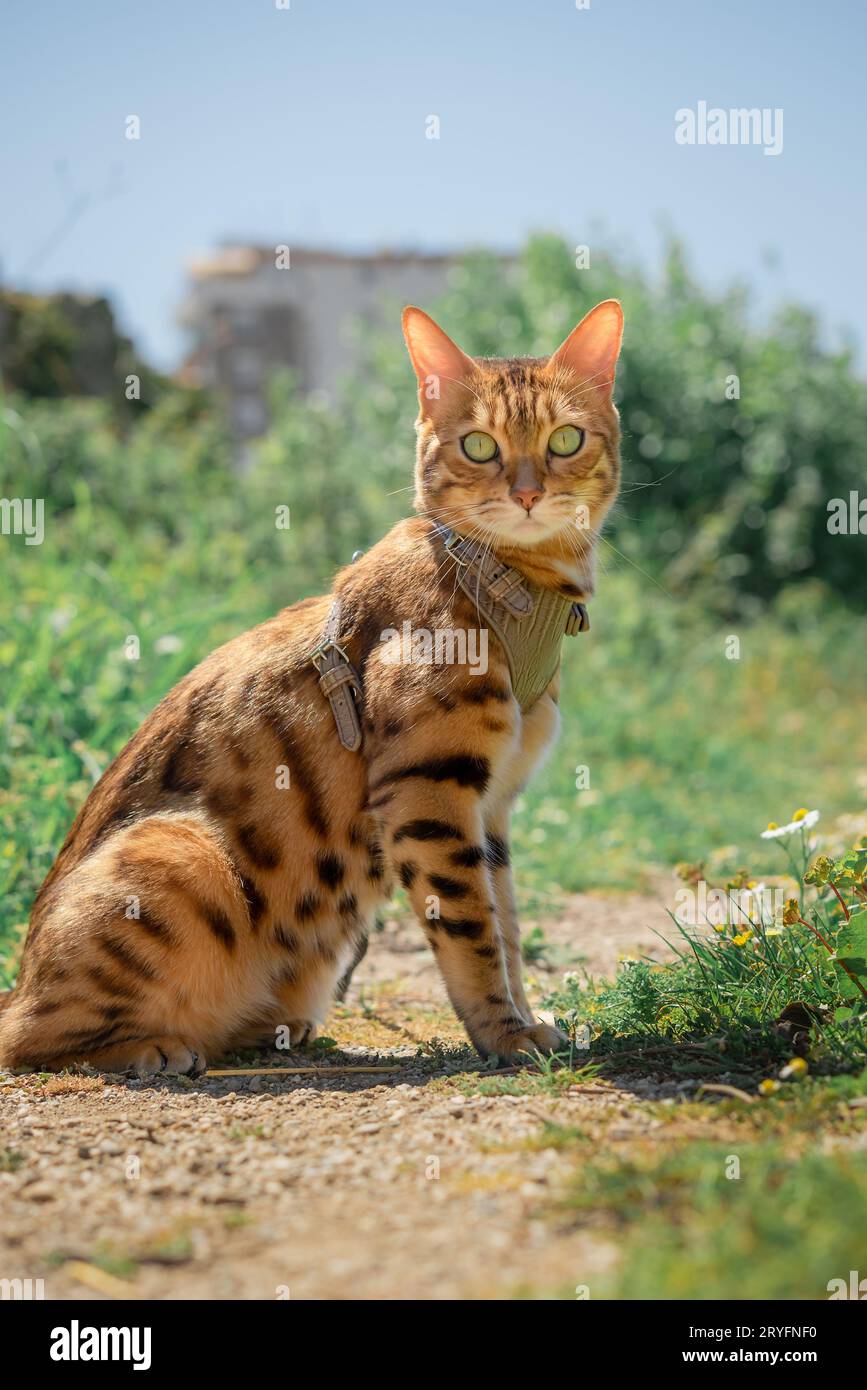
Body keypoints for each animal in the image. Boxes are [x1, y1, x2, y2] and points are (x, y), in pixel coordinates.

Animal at [0, 298, 622, 1067]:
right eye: (479, 447)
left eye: (566, 438)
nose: (529, 493)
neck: (513, 587)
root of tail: (20, 984)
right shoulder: (429, 790)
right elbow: (472, 926)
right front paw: (503, 1034)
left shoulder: (493, 803)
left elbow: (504, 922)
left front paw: (526, 1019)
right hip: (181, 852)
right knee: (33, 1038)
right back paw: (154, 1048)